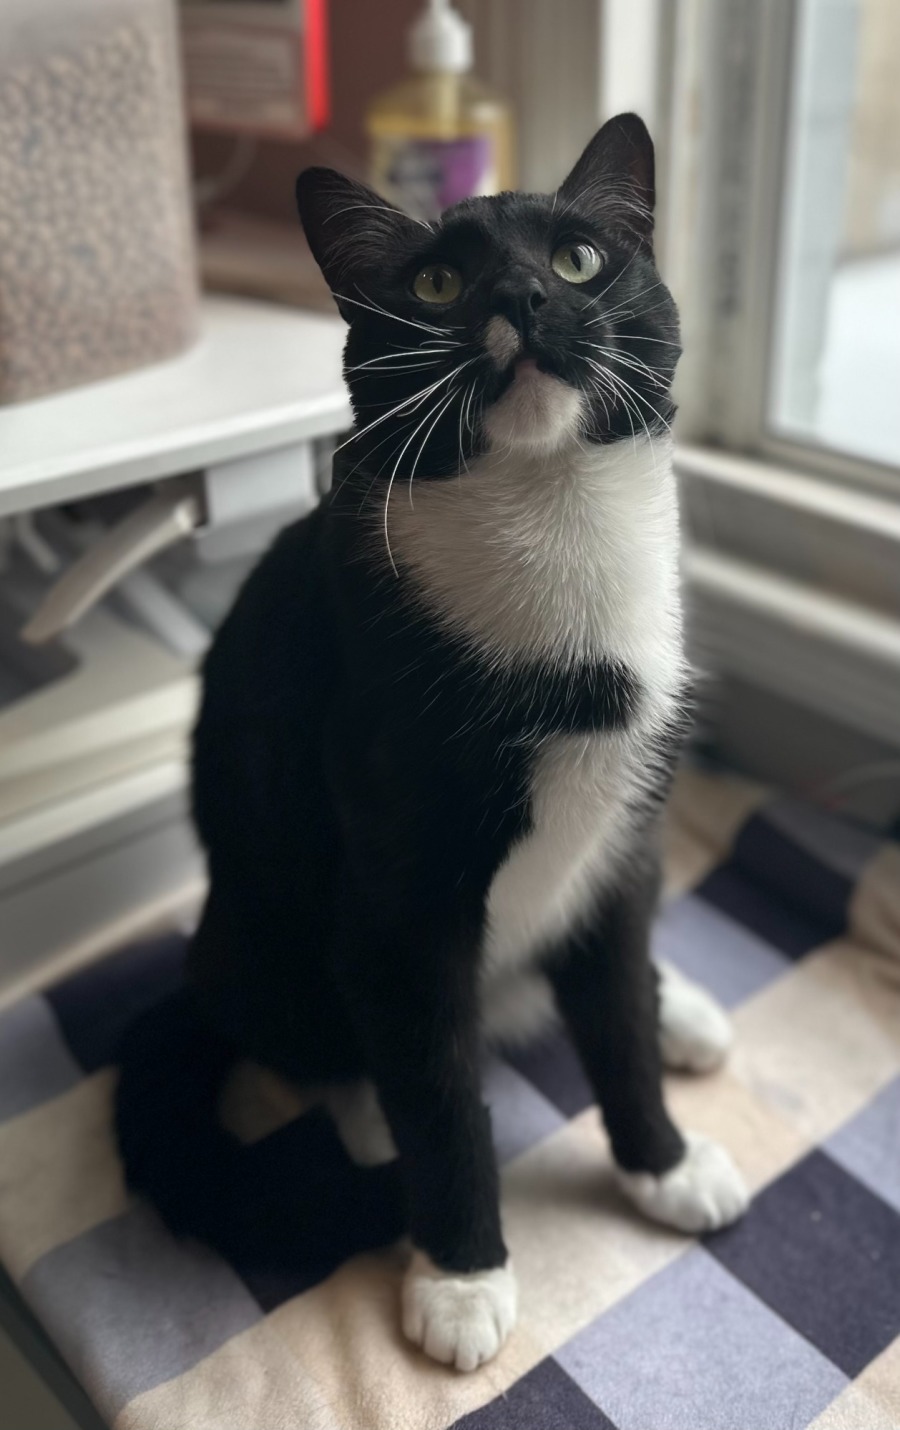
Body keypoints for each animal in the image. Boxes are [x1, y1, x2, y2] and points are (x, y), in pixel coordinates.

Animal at [115, 113, 748, 1373]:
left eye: (579, 260)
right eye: (438, 283)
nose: (521, 297)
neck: (556, 525)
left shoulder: (620, 847)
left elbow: (614, 1014)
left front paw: (661, 1162)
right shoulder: (399, 905)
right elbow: (439, 1089)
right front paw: (461, 1276)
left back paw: (684, 1010)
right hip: (264, 925)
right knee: (322, 1040)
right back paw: (365, 1117)